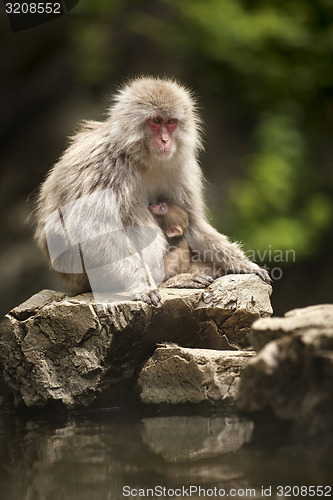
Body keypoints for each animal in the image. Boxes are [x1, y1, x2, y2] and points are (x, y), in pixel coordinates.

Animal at [35, 77, 270, 304]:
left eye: (171, 122)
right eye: (156, 121)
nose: (165, 140)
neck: (143, 160)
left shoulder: (182, 168)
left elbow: (193, 224)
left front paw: (245, 265)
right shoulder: (101, 165)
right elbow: (93, 229)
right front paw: (143, 284)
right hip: (78, 269)